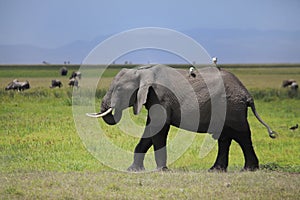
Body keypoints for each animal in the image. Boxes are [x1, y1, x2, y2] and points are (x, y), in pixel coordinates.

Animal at [85, 65, 276, 171]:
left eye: (119, 89)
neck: (143, 71)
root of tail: (247, 94)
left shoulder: (160, 97)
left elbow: (158, 128)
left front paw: (161, 170)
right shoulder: (153, 99)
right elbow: (149, 130)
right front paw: (133, 170)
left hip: (233, 107)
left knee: (242, 135)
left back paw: (249, 169)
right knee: (225, 138)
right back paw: (215, 170)